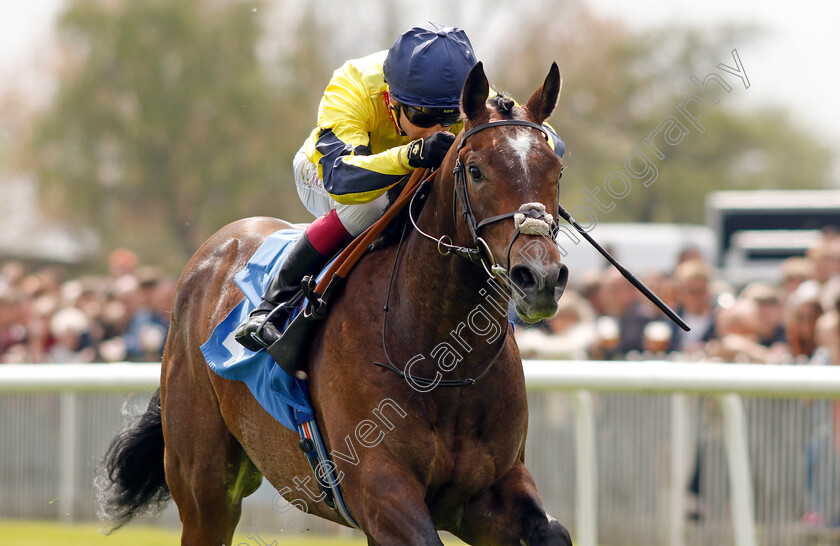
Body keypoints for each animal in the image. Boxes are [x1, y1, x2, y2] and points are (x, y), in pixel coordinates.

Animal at [97, 61, 572, 540]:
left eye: (556, 170)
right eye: (475, 170)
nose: (540, 278)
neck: (442, 359)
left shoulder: (493, 489)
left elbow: (553, 531)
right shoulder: (380, 492)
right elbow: (344, 168)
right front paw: (429, 149)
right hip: (204, 486)